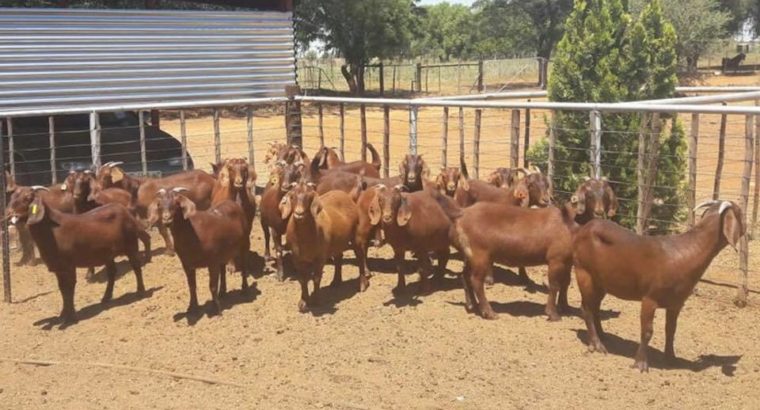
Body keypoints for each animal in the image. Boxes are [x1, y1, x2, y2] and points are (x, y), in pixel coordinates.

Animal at [7, 186, 148, 324]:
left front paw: (70, 317)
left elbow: (69, 288)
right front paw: (63, 314)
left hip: (131, 244)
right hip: (107, 254)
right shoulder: (58, 267)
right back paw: (106, 297)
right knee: (112, 272)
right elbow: (62, 289)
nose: (10, 215)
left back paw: (140, 292)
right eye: (12, 197)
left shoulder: (69, 265)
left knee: (136, 266)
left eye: (27, 198)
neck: (52, 230)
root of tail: (123, 209)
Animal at [281, 182, 369, 312]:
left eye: (309, 198)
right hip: (336, 242)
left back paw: (362, 284)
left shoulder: (320, 257)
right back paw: (336, 281)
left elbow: (316, 278)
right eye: (292, 197)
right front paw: (303, 302)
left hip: (356, 236)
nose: (299, 214)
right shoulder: (297, 258)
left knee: (360, 256)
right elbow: (303, 279)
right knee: (338, 258)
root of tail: (347, 196)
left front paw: (316, 300)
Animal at [572, 200, 744, 372]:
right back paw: (597, 345)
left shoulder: (676, 303)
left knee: (595, 307)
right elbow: (647, 331)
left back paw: (603, 336)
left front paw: (671, 359)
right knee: (586, 309)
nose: (745, 231)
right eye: (741, 214)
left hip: (600, 282)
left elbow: (671, 330)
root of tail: (584, 228)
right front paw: (641, 364)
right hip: (584, 273)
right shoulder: (650, 298)